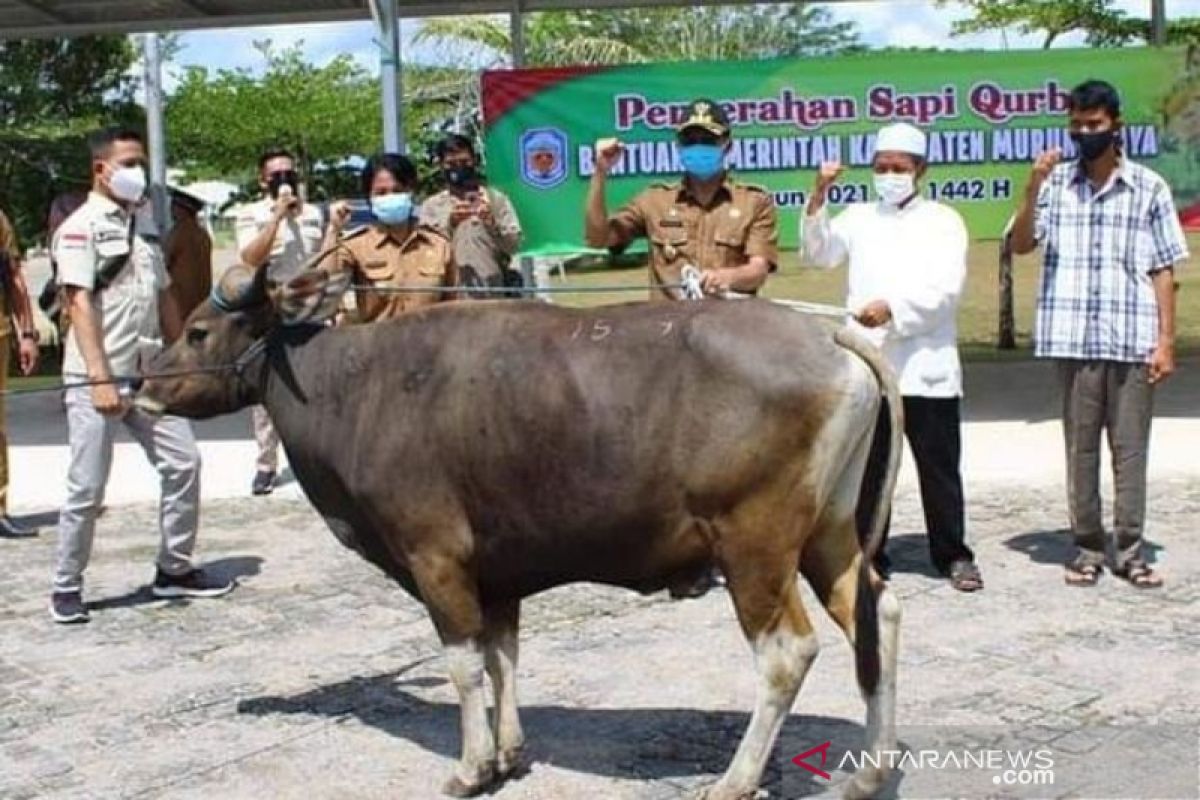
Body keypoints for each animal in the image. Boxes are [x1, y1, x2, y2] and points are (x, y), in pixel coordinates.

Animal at [133, 267, 902, 800]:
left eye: (197, 330)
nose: (143, 383)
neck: (354, 386)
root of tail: (828, 333)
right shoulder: (498, 574)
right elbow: (503, 655)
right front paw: (508, 753)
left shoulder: (436, 557)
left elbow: (464, 663)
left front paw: (471, 767)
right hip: (830, 534)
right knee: (877, 614)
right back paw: (869, 772)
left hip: (754, 546)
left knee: (786, 652)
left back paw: (736, 780)